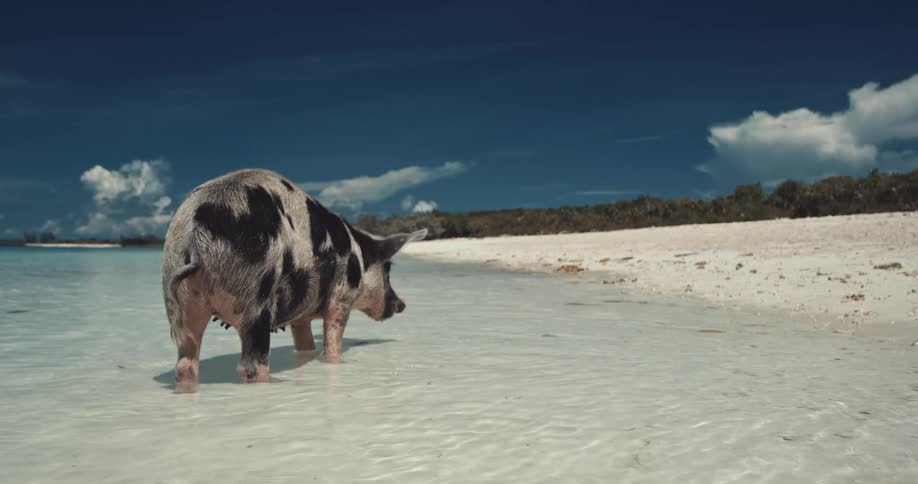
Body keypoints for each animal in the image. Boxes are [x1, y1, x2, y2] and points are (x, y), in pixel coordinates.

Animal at [161, 169, 426, 393]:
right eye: (388, 269)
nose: (402, 304)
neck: (359, 257)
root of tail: (197, 235)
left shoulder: (301, 315)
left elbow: (304, 342)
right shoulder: (341, 297)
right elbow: (333, 339)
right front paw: (335, 361)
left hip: (180, 301)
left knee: (186, 361)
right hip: (253, 295)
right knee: (251, 364)